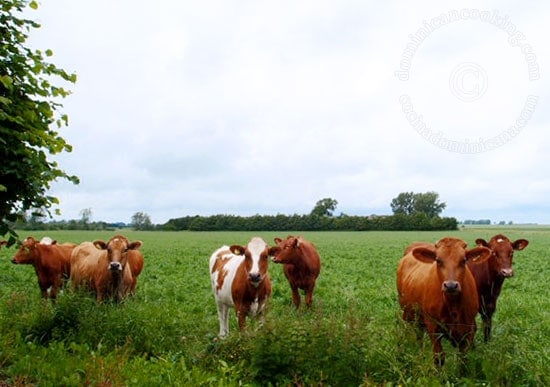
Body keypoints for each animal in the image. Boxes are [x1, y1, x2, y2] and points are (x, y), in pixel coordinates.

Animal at [398, 238, 494, 368]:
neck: (453, 306)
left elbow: (463, 358)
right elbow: (438, 358)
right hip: (407, 313)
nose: (451, 285)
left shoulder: (469, 328)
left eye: (464, 260)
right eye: (438, 260)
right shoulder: (433, 327)